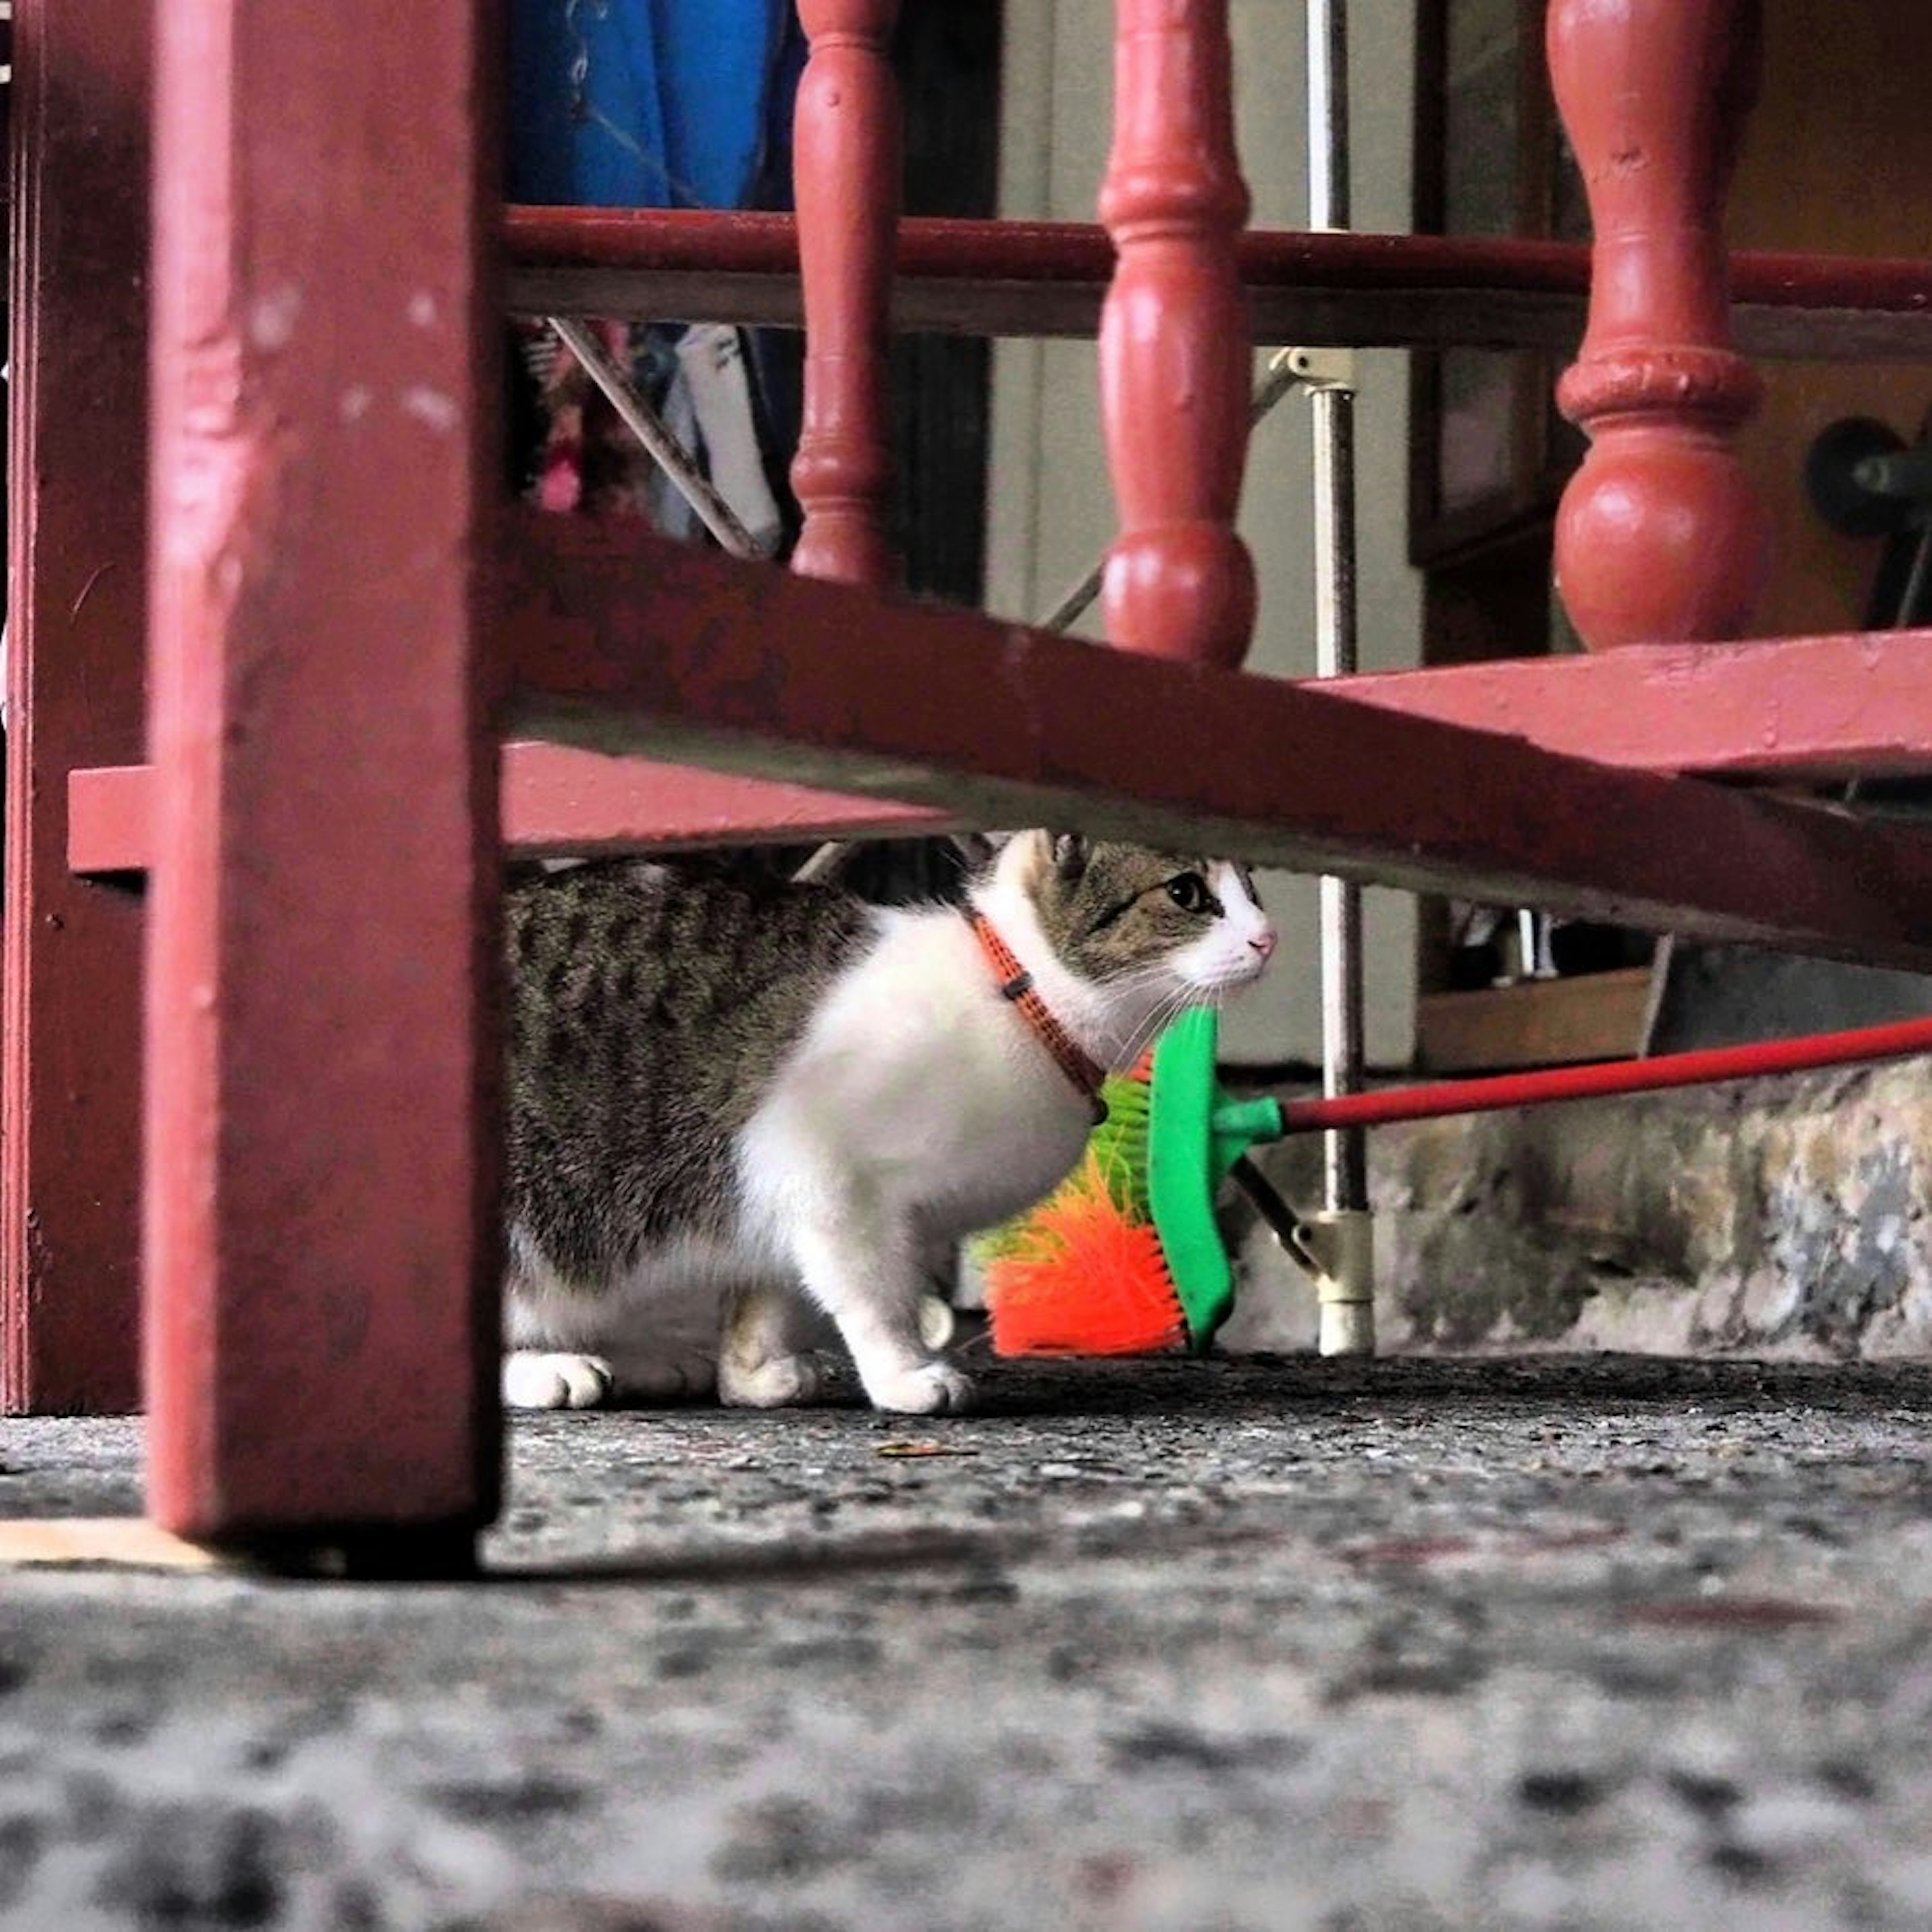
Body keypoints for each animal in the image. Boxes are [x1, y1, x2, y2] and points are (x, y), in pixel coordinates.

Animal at [506, 831, 1275, 1422]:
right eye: (1186, 893)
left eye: (1254, 888)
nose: (1268, 937)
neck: (1020, 1002)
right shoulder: (822, 1177)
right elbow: (874, 1296)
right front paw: (906, 1373)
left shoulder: (775, 1194)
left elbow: (771, 1296)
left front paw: (755, 1374)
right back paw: (551, 1370)